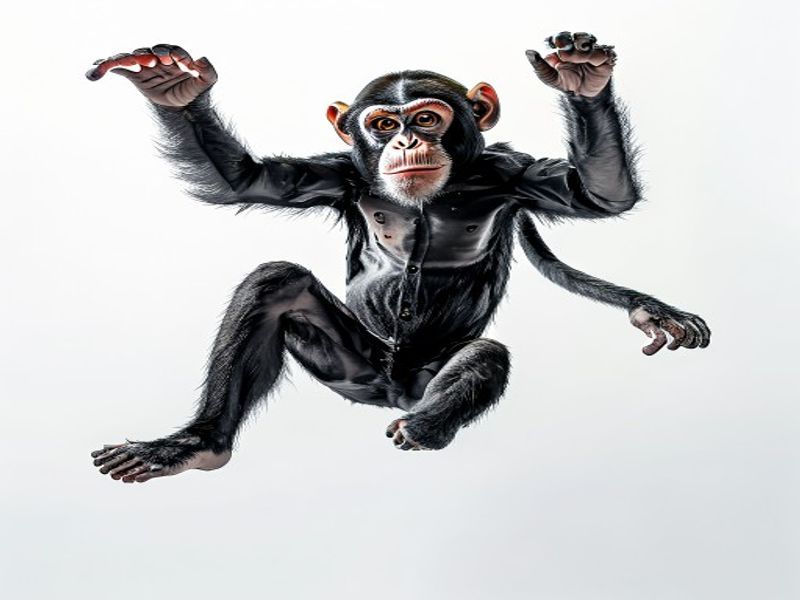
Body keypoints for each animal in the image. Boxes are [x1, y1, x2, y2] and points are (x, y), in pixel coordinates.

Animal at [86, 33, 710, 483]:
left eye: (427, 118)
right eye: (384, 123)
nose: (407, 141)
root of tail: (394, 390)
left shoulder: (517, 175)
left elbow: (598, 195)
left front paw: (583, 77)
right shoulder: (334, 174)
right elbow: (246, 179)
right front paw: (174, 86)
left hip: (416, 380)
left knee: (483, 354)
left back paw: (423, 429)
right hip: (354, 371)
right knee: (274, 281)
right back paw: (197, 445)